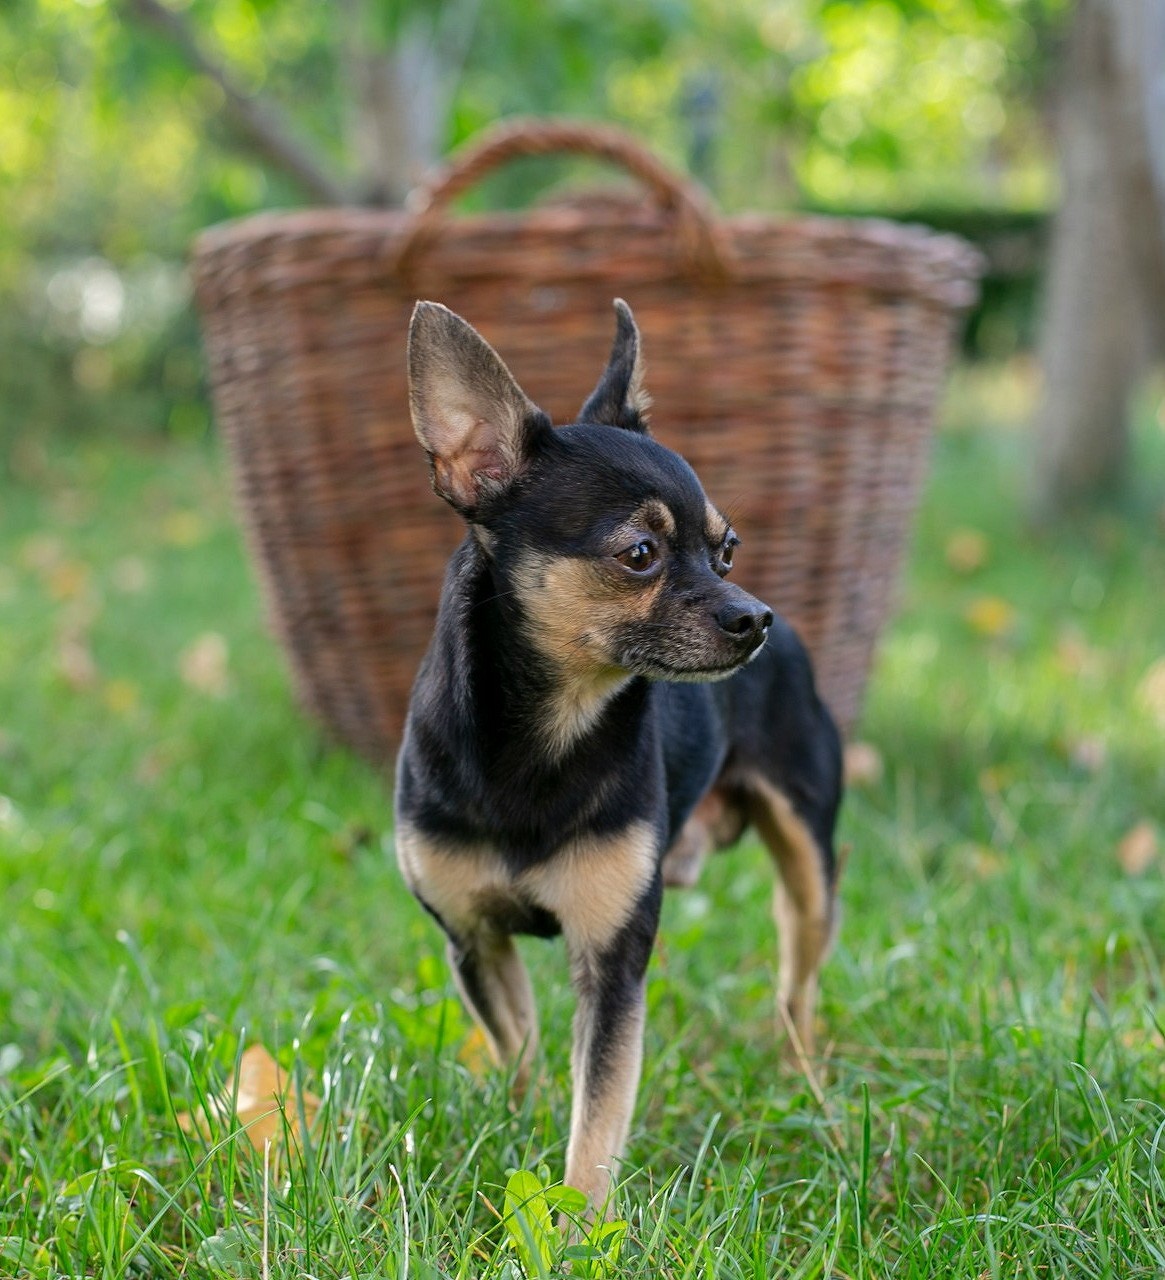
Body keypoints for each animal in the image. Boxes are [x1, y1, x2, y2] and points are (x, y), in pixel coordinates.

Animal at [396, 296, 844, 1208]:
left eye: (726, 549)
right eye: (638, 554)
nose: (754, 615)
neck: (544, 735)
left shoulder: (612, 964)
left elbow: (597, 1119)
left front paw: (576, 1221)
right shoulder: (475, 942)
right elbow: (522, 1053)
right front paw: (515, 1124)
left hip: (809, 864)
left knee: (798, 984)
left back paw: (806, 1087)